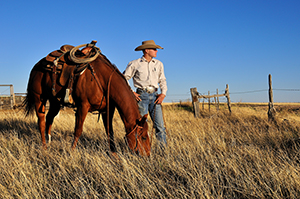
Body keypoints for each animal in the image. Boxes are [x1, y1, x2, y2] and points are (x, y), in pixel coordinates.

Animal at [23, 42, 151, 156]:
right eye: (144, 137)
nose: (147, 156)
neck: (102, 79)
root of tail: (37, 65)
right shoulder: (83, 106)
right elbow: (78, 131)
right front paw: (71, 153)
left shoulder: (107, 110)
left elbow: (110, 132)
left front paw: (114, 155)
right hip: (39, 98)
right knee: (41, 122)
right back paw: (44, 147)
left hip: (55, 101)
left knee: (49, 118)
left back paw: (49, 142)